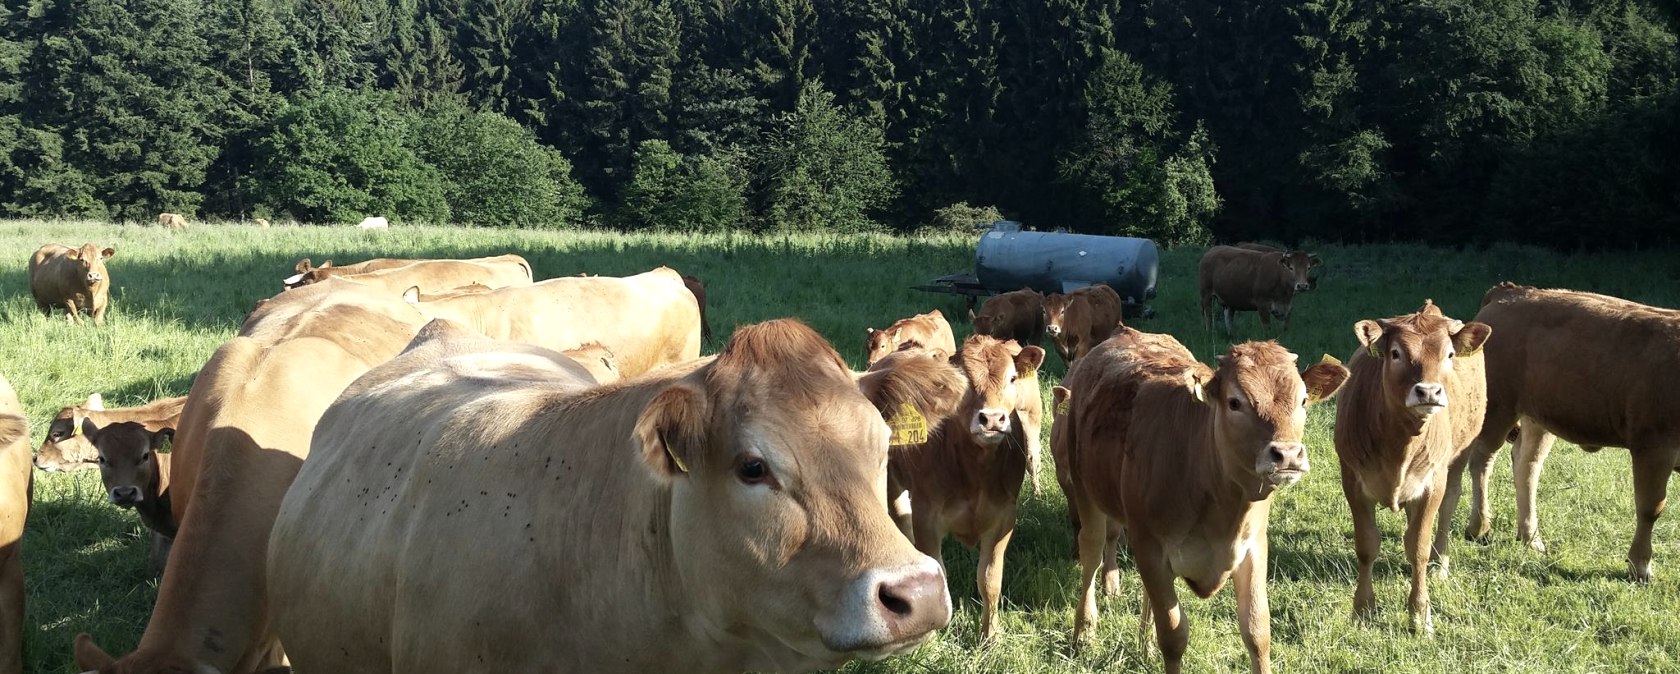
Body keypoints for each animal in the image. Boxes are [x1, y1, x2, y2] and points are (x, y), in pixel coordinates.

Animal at [888, 334, 1045, 640]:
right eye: (962, 381)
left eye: (1012, 378)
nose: (992, 419)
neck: (975, 474)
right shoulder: (926, 516)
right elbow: (938, 571)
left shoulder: (1004, 517)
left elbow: (989, 579)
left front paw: (990, 635)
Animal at [1059, 328, 1347, 673]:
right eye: (1235, 402)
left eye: (1303, 400)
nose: (1288, 454)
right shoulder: (1152, 550)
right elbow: (1173, 635)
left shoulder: (1253, 546)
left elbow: (1257, 631)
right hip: (1085, 489)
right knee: (1091, 553)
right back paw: (1084, 632)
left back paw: (1145, 645)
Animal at [1333, 300, 1490, 635]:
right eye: (1396, 353)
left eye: (1449, 354)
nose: (1428, 392)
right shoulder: (1352, 481)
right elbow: (1367, 545)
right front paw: (1362, 609)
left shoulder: (1432, 484)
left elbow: (1419, 546)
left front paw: (1419, 614)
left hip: (1459, 456)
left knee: (1448, 506)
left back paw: (1439, 564)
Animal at [1448, 283, 1680, 583]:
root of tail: (1510, 292)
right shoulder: (1653, 445)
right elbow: (1650, 507)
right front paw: (1640, 566)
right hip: (1498, 406)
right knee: (1482, 461)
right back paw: (1479, 527)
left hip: (1539, 416)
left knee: (1527, 466)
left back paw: (1530, 537)